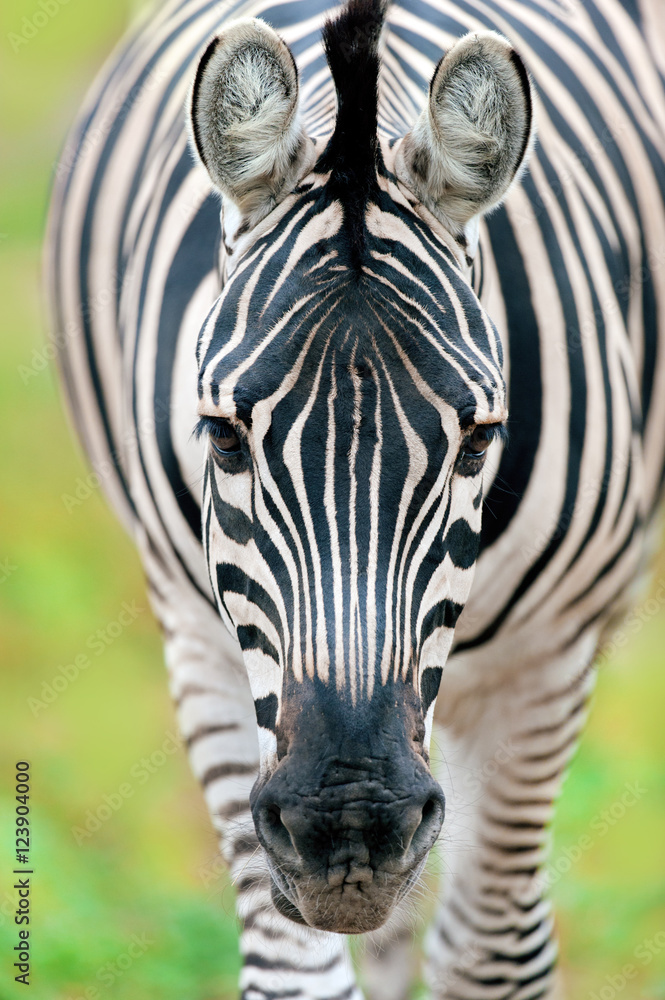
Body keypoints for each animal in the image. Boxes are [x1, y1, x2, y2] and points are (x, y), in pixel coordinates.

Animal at [45, 0, 665, 996]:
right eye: (222, 435)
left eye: (478, 440)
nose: (351, 831)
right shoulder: (202, 642)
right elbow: (298, 972)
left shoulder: (541, 665)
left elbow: (492, 956)